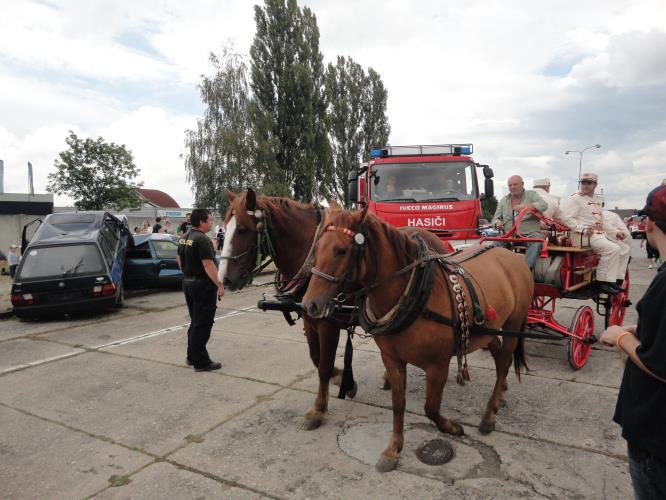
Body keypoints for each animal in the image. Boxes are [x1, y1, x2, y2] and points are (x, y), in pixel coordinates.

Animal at [219, 189, 358, 432]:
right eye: (225, 228)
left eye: (243, 229)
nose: (224, 279)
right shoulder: (309, 319)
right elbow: (316, 358)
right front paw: (342, 378)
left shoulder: (327, 322)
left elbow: (323, 365)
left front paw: (318, 410)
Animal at [304, 203, 532, 472]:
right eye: (317, 247)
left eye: (341, 250)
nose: (309, 304)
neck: (413, 293)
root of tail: (512, 255)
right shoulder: (392, 359)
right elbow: (398, 403)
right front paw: (393, 449)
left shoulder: (438, 365)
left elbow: (430, 408)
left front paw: (452, 427)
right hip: (489, 329)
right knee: (498, 356)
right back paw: (501, 394)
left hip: (513, 323)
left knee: (504, 361)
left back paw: (489, 413)